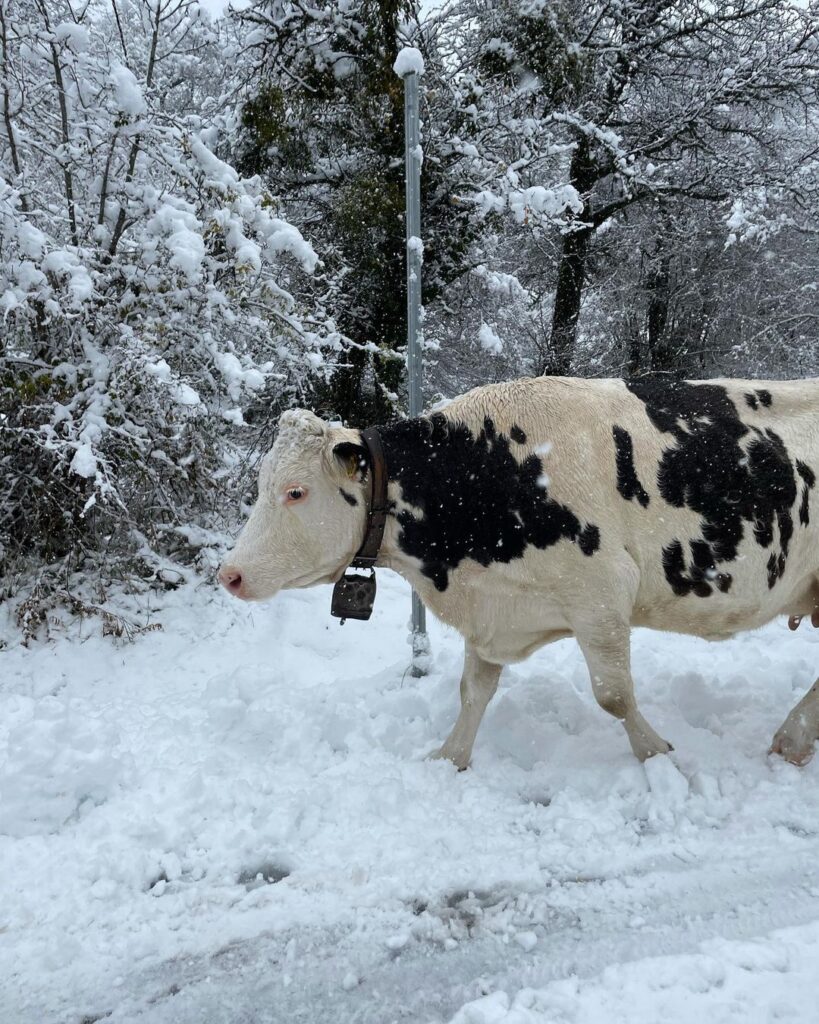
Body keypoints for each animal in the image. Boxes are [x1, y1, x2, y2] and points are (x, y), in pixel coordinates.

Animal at [219, 376, 818, 770]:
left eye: (295, 491)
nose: (229, 575)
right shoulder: (490, 609)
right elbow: (473, 691)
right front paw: (449, 759)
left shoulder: (600, 594)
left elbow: (613, 695)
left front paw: (657, 757)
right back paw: (793, 741)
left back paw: (790, 741)